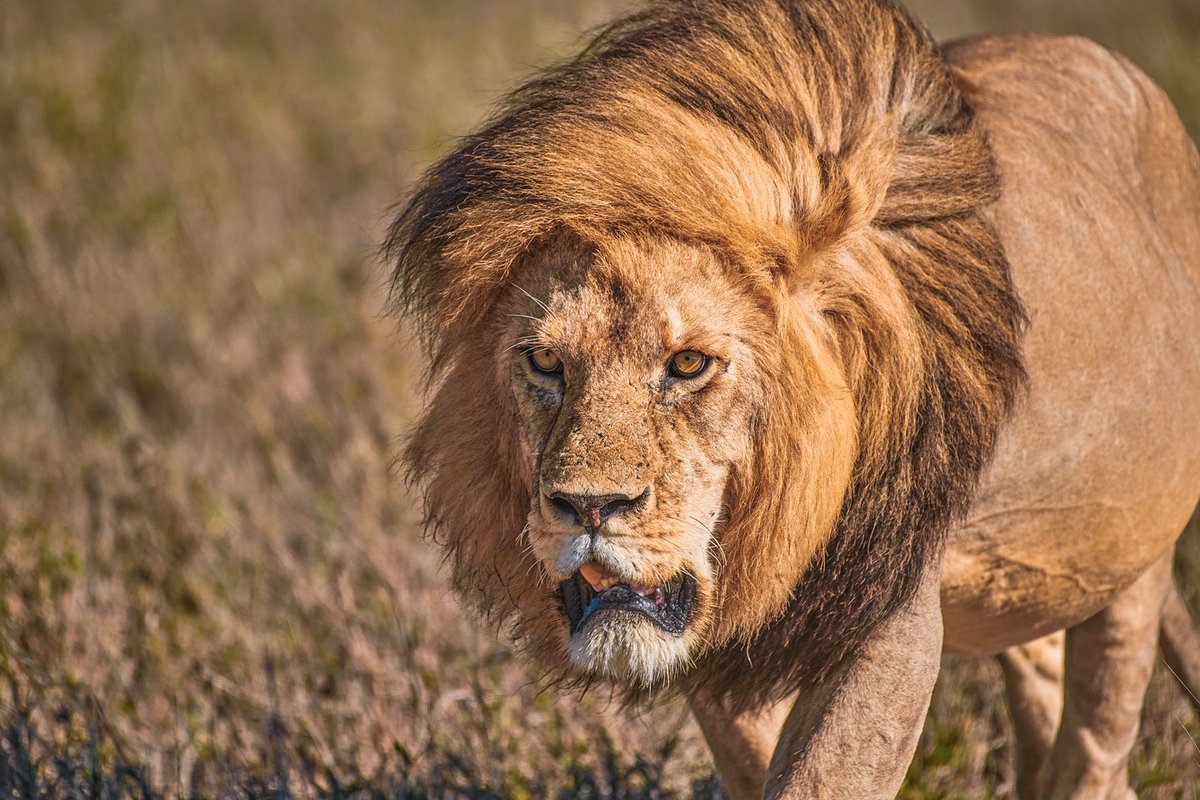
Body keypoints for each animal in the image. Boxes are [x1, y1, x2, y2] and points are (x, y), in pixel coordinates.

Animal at [384, 0, 1200, 796]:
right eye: (546, 361)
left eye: (688, 363)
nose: (589, 507)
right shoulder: (730, 643)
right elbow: (756, 763)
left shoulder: (891, 618)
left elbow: (821, 776)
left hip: (1133, 551)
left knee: (1096, 740)